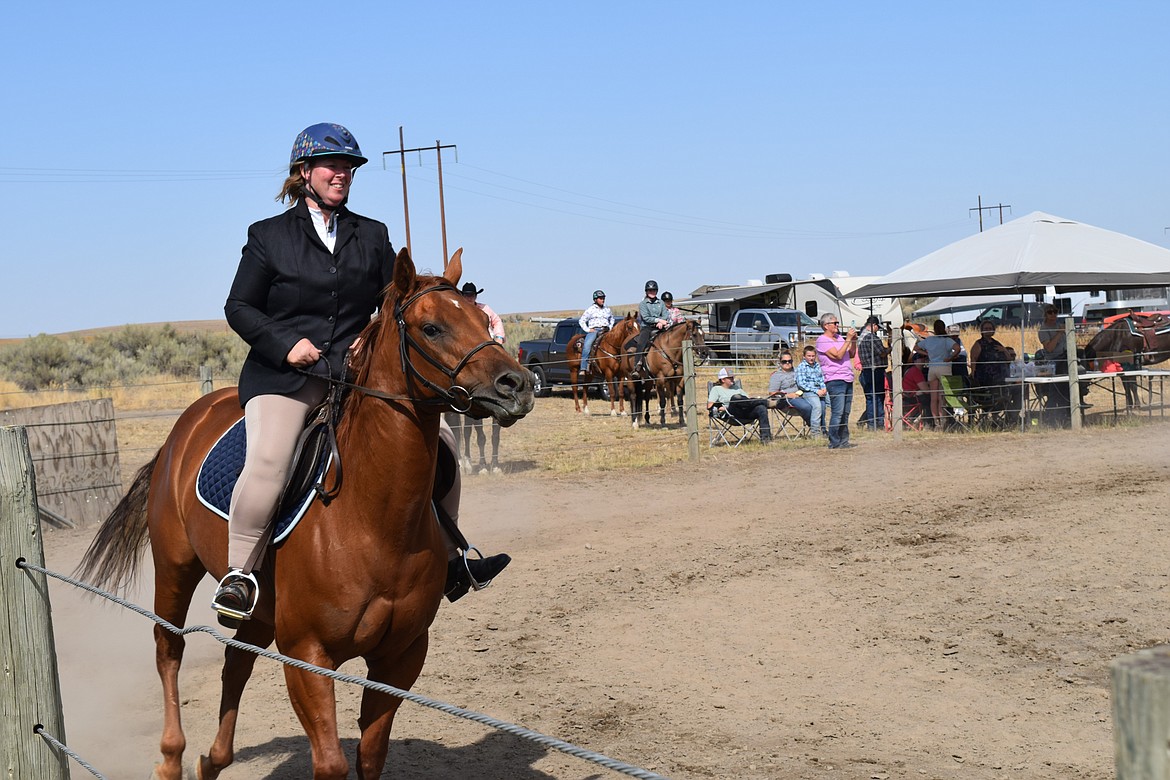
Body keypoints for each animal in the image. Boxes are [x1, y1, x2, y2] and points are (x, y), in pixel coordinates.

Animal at [73, 250, 531, 780]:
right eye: (432, 327)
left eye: (483, 319)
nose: (518, 385)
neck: (373, 520)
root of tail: (186, 425)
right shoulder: (307, 656)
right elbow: (330, 764)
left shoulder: (401, 657)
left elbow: (371, 756)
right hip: (175, 567)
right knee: (169, 648)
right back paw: (171, 759)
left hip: (261, 604)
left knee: (236, 659)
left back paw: (213, 759)